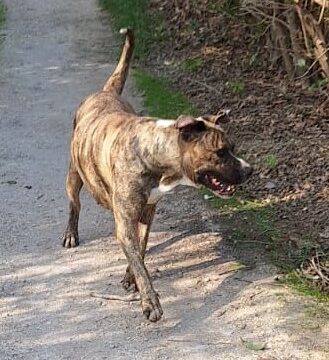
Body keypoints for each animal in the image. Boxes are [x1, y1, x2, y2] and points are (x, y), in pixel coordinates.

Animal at [62, 27, 251, 320]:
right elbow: (139, 261)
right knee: (75, 203)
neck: (155, 151)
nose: (249, 170)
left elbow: (140, 250)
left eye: (233, 148)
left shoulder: (147, 213)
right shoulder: (127, 220)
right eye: (220, 152)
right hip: (74, 174)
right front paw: (150, 300)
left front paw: (132, 277)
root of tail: (104, 92)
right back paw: (71, 233)